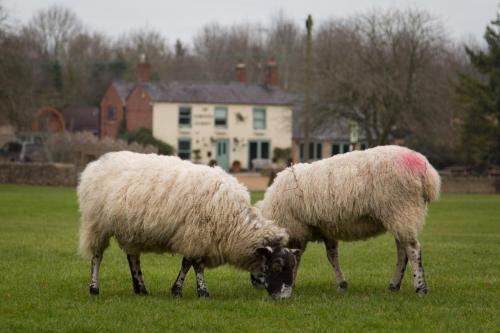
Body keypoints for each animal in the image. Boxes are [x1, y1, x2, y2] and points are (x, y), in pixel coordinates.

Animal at [78, 150, 296, 298]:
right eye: (277, 266)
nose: (284, 298)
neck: (234, 220)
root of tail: (96, 163)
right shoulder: (196, 234)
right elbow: (194, 264)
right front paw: (200, 292)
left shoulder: (195, 236)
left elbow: (188, 263)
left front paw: (178, 290)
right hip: (96, 224)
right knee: (97, 256)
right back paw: (94, 288)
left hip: (130, 229)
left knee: (133, 257)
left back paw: (141, 288)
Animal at [252, 144, 440, 294]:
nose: (255, 283)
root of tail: (427, 172)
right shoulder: (325, 229)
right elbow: (332, 256)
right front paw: (342, 284)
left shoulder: (298, 230)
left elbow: (296, 258)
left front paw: (291, 282)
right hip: (399, 216)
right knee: (402, 251)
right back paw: (394, 285)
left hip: (401, 208)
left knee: (413, 249)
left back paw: (420, 287)